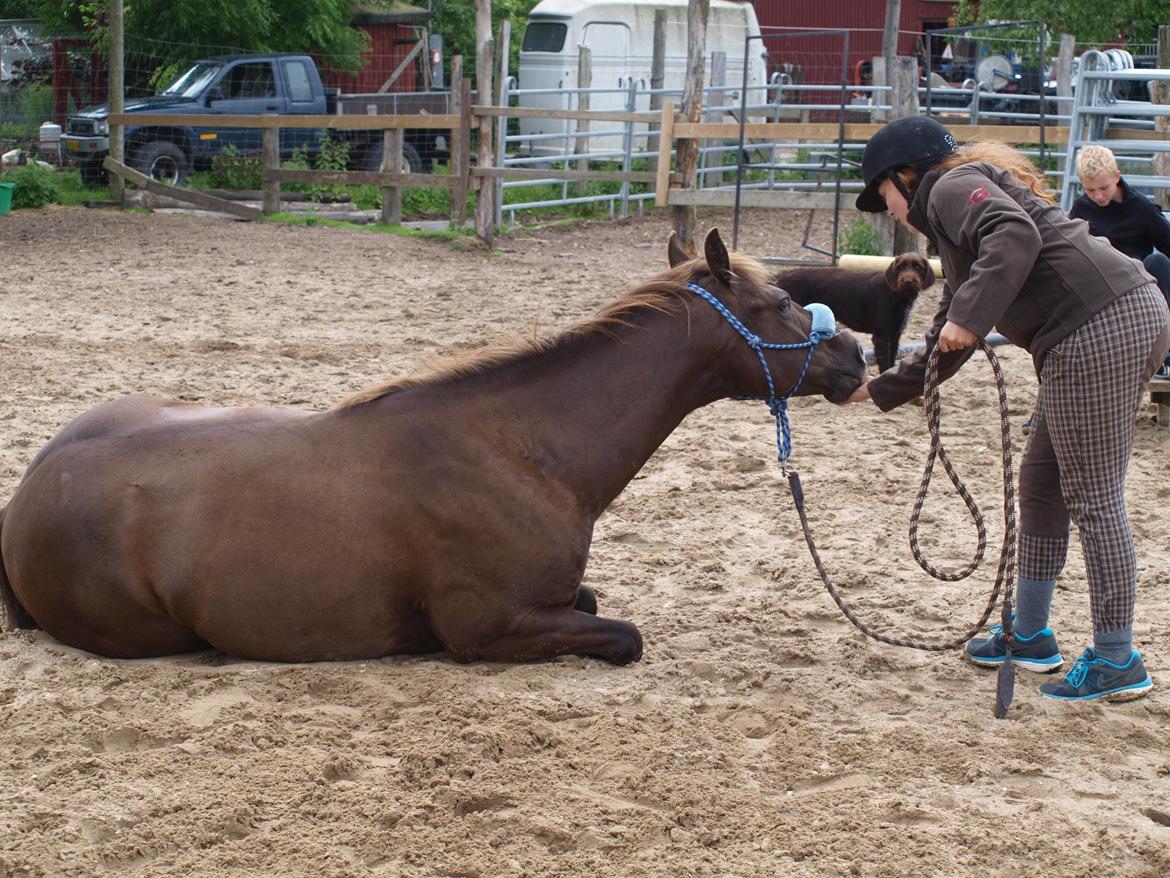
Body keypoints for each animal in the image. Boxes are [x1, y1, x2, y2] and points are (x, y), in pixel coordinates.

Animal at [0, 228, 861, 664]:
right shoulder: (491, 630)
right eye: (780, 301)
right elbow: (624, 637)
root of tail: (27, 496)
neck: (521, 451)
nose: (854, 355)